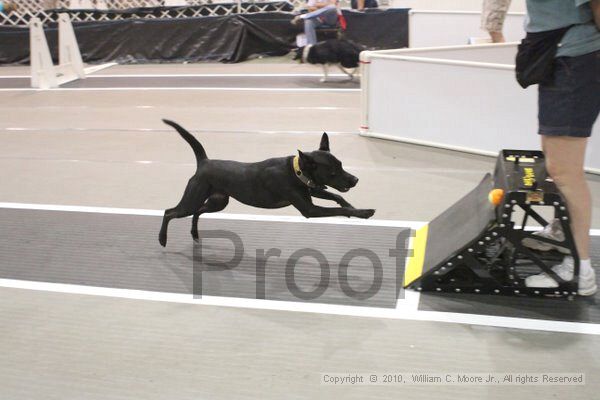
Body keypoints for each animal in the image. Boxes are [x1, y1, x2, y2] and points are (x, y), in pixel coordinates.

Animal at [159, 119, 376, 247]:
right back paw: (162, 239)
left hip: (218, 202)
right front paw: (363, 212)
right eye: (332, 172)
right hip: (193, 199)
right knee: (170, 212)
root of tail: (204, 162)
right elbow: (338, 208)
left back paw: (195, 234)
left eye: (341, 165)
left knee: (197, 212)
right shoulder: (310, 209)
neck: (296, 171)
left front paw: (353, 206)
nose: (355, 180)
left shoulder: (311, 189)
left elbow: (336, 196)